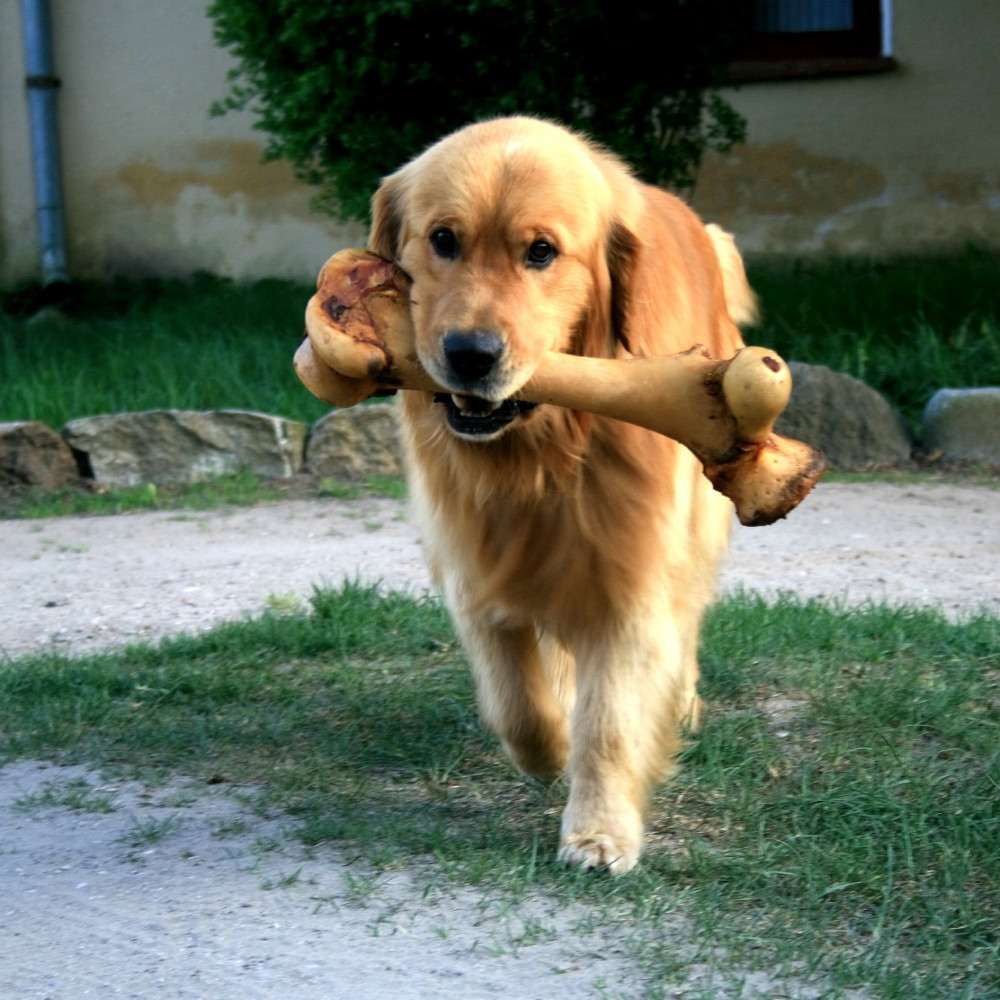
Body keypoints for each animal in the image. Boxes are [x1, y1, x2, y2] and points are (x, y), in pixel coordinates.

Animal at [368, 117, 752, 872]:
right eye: (443, 239)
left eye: (541, 252)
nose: (470, 354)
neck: (545, 454)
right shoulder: (475, 564)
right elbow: (517, 700)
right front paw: (549, 751)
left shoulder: (633, 574)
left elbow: (611, 719)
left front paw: (600, 831)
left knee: (685, 626)